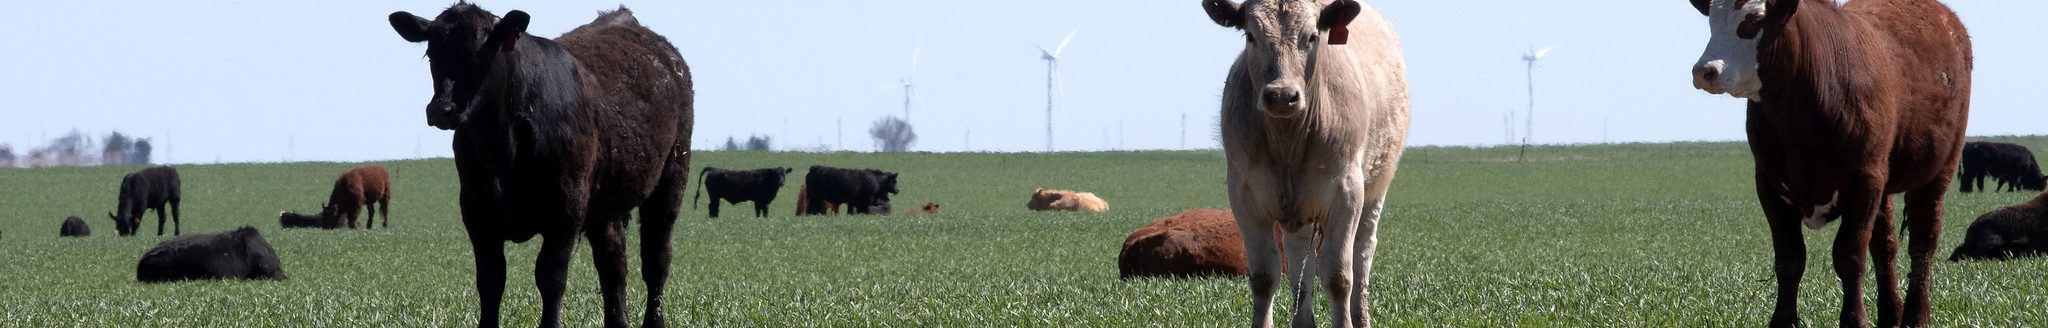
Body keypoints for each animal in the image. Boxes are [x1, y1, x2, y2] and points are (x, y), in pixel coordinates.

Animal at [391, 5, 696, 328]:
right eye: (431, 53)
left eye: (483, 52)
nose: (442, 108)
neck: (503, 150)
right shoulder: (476, 212)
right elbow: (490, 280)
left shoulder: (566, 210)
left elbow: (550, 276)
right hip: (606, 204)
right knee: (613, 265)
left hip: (672, 177)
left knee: (656, 260)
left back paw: (655, 320)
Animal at [1196, 0, 1409, 325]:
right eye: (1250, 35)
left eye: (1312, 37)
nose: (1282, 96)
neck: (1288, 141)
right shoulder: (1245, 197)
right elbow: (1264, 277)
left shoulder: (1346, 195)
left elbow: (1338, 277)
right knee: (1300, 264)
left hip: (1375, 189)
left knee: (1362, 253)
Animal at [1679, 0, 1966, 325]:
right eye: (1712, 20)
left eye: (1754, 19)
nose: (1705, 70)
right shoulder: (1768, 182)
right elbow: (1790, 259)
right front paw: (1783, 321)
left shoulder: (1864, 180)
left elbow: (1849, 256)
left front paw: (1855, 319)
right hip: (1883, 184)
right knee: (1885, 247)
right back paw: (1891, 313)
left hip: (1938, 172)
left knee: (1922, 243)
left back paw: (1915, 316)